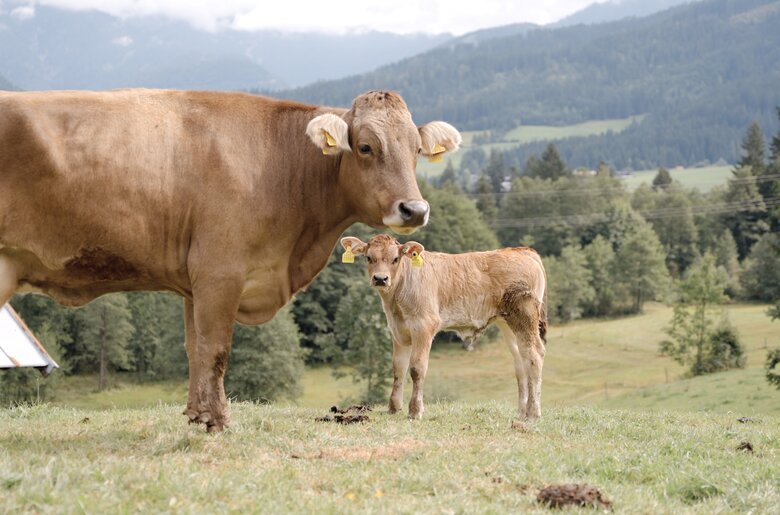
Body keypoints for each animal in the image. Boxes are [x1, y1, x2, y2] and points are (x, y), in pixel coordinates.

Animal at [0, 89, 462, 431]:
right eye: (366, 147)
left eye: (417, 149)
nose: (414, 210)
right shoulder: (220, 273)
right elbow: (217, 349)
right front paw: (218, 421)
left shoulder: (195, 282)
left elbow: (194, 349)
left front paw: (195, 414)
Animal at [339, 234, 547, 421]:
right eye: (369, 257)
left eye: (395, 259)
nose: (380, 279)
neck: (396, 303)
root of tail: (522, 251)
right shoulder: (397, 331)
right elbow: (398, 368)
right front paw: (393, 407)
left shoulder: (424, 326)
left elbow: (417, 368)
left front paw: (415, 410)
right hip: (508, 324)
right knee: (521, 361)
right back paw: (522, 412)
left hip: (525, 316)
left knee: (534, 355)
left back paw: (533, 413)